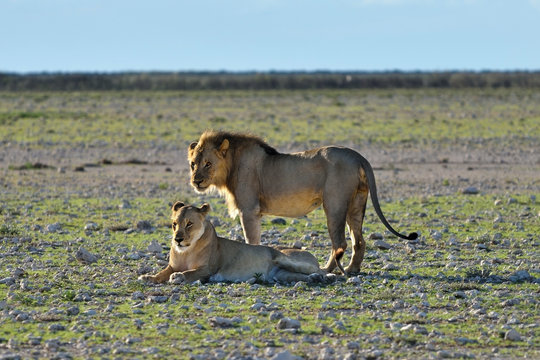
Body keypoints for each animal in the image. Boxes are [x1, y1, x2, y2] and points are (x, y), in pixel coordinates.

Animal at [139, 202, 324, 284]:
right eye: (174, 224)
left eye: (189, 224)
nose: (177, 239)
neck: (186, 251)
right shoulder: (172, 265)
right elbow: (161, 273)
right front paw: (147, 277)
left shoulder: (208, 270)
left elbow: (190, 272)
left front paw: (178, 276)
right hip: (282, 274)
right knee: (302, 276)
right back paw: (314, 279)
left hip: (281, 257)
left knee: (319, 269)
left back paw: (322, 276)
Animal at [188, 131, 420, 274]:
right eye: (192, 164)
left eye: (208, 164)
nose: (196, 181)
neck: (231, 165)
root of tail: (357, 156)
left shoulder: (249, 210)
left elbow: (251, 240)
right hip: (357, 203)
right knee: (359, 241)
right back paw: (352, 270)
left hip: (334, 204)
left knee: (340, 243)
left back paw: (326, 270)